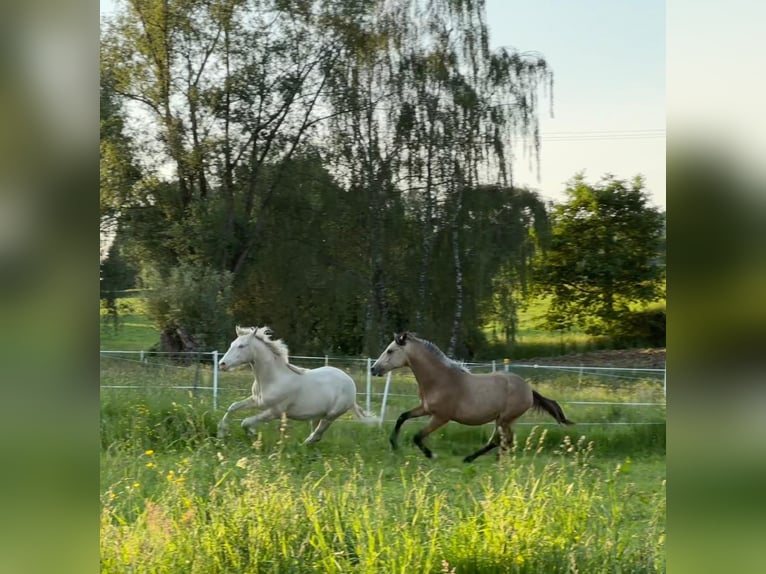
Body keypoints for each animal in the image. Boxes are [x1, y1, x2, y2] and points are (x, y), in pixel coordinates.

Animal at [217, 326, 375, 444]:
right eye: (232, 344)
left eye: (241, 346)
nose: (222, 364)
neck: (274, 379)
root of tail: (349, 382)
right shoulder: (257, 401)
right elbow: (233, 407)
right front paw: (221, 433)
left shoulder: (275, 411)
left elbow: (245, 422)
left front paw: (253, 435)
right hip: (317, 415)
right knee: (316, 434)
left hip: (331, 415)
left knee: (317, 433)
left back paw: (304, 446)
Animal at [371, 332, 574, 462]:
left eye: (390, 351)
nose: (373, 369)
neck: (440, 379)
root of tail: (529, 389)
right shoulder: (425, 409)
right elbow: (402, 417)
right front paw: (394, 445)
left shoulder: (441, 417)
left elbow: (417, 436)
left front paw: (431, 455)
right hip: (502, 420)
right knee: (503, 440)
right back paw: (492, 458)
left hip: (505, 419)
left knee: (499, 440)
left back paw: (473, 459)